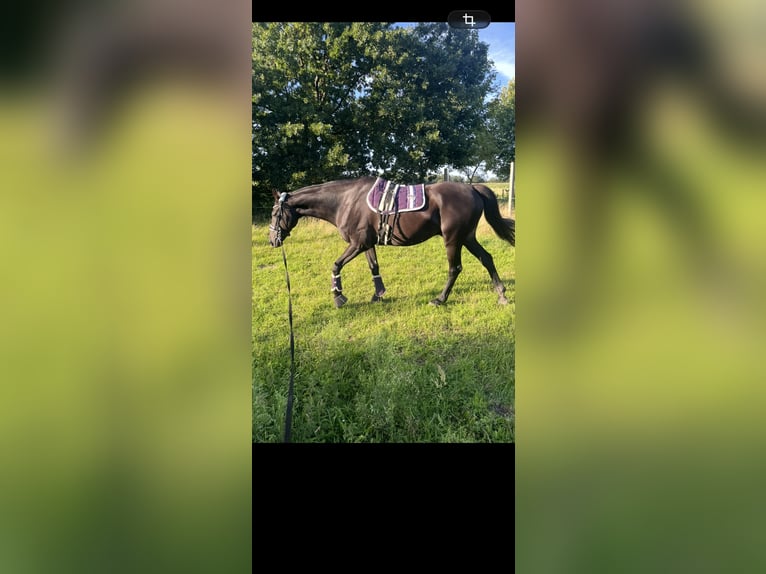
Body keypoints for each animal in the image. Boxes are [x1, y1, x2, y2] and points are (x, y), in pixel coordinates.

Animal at [268, 176, 515, 307]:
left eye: (274, 213)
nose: (272, 241)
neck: (345, 201)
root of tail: (472, 188)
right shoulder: (367, 244)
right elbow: (374, 267)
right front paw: (378, 294)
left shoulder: (356, 244)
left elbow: (336, 265)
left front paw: (338, 297)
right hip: (467, 237)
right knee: (486, 258)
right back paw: (501, 294)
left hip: (453, 239)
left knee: (455, 268)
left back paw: (440, 299)